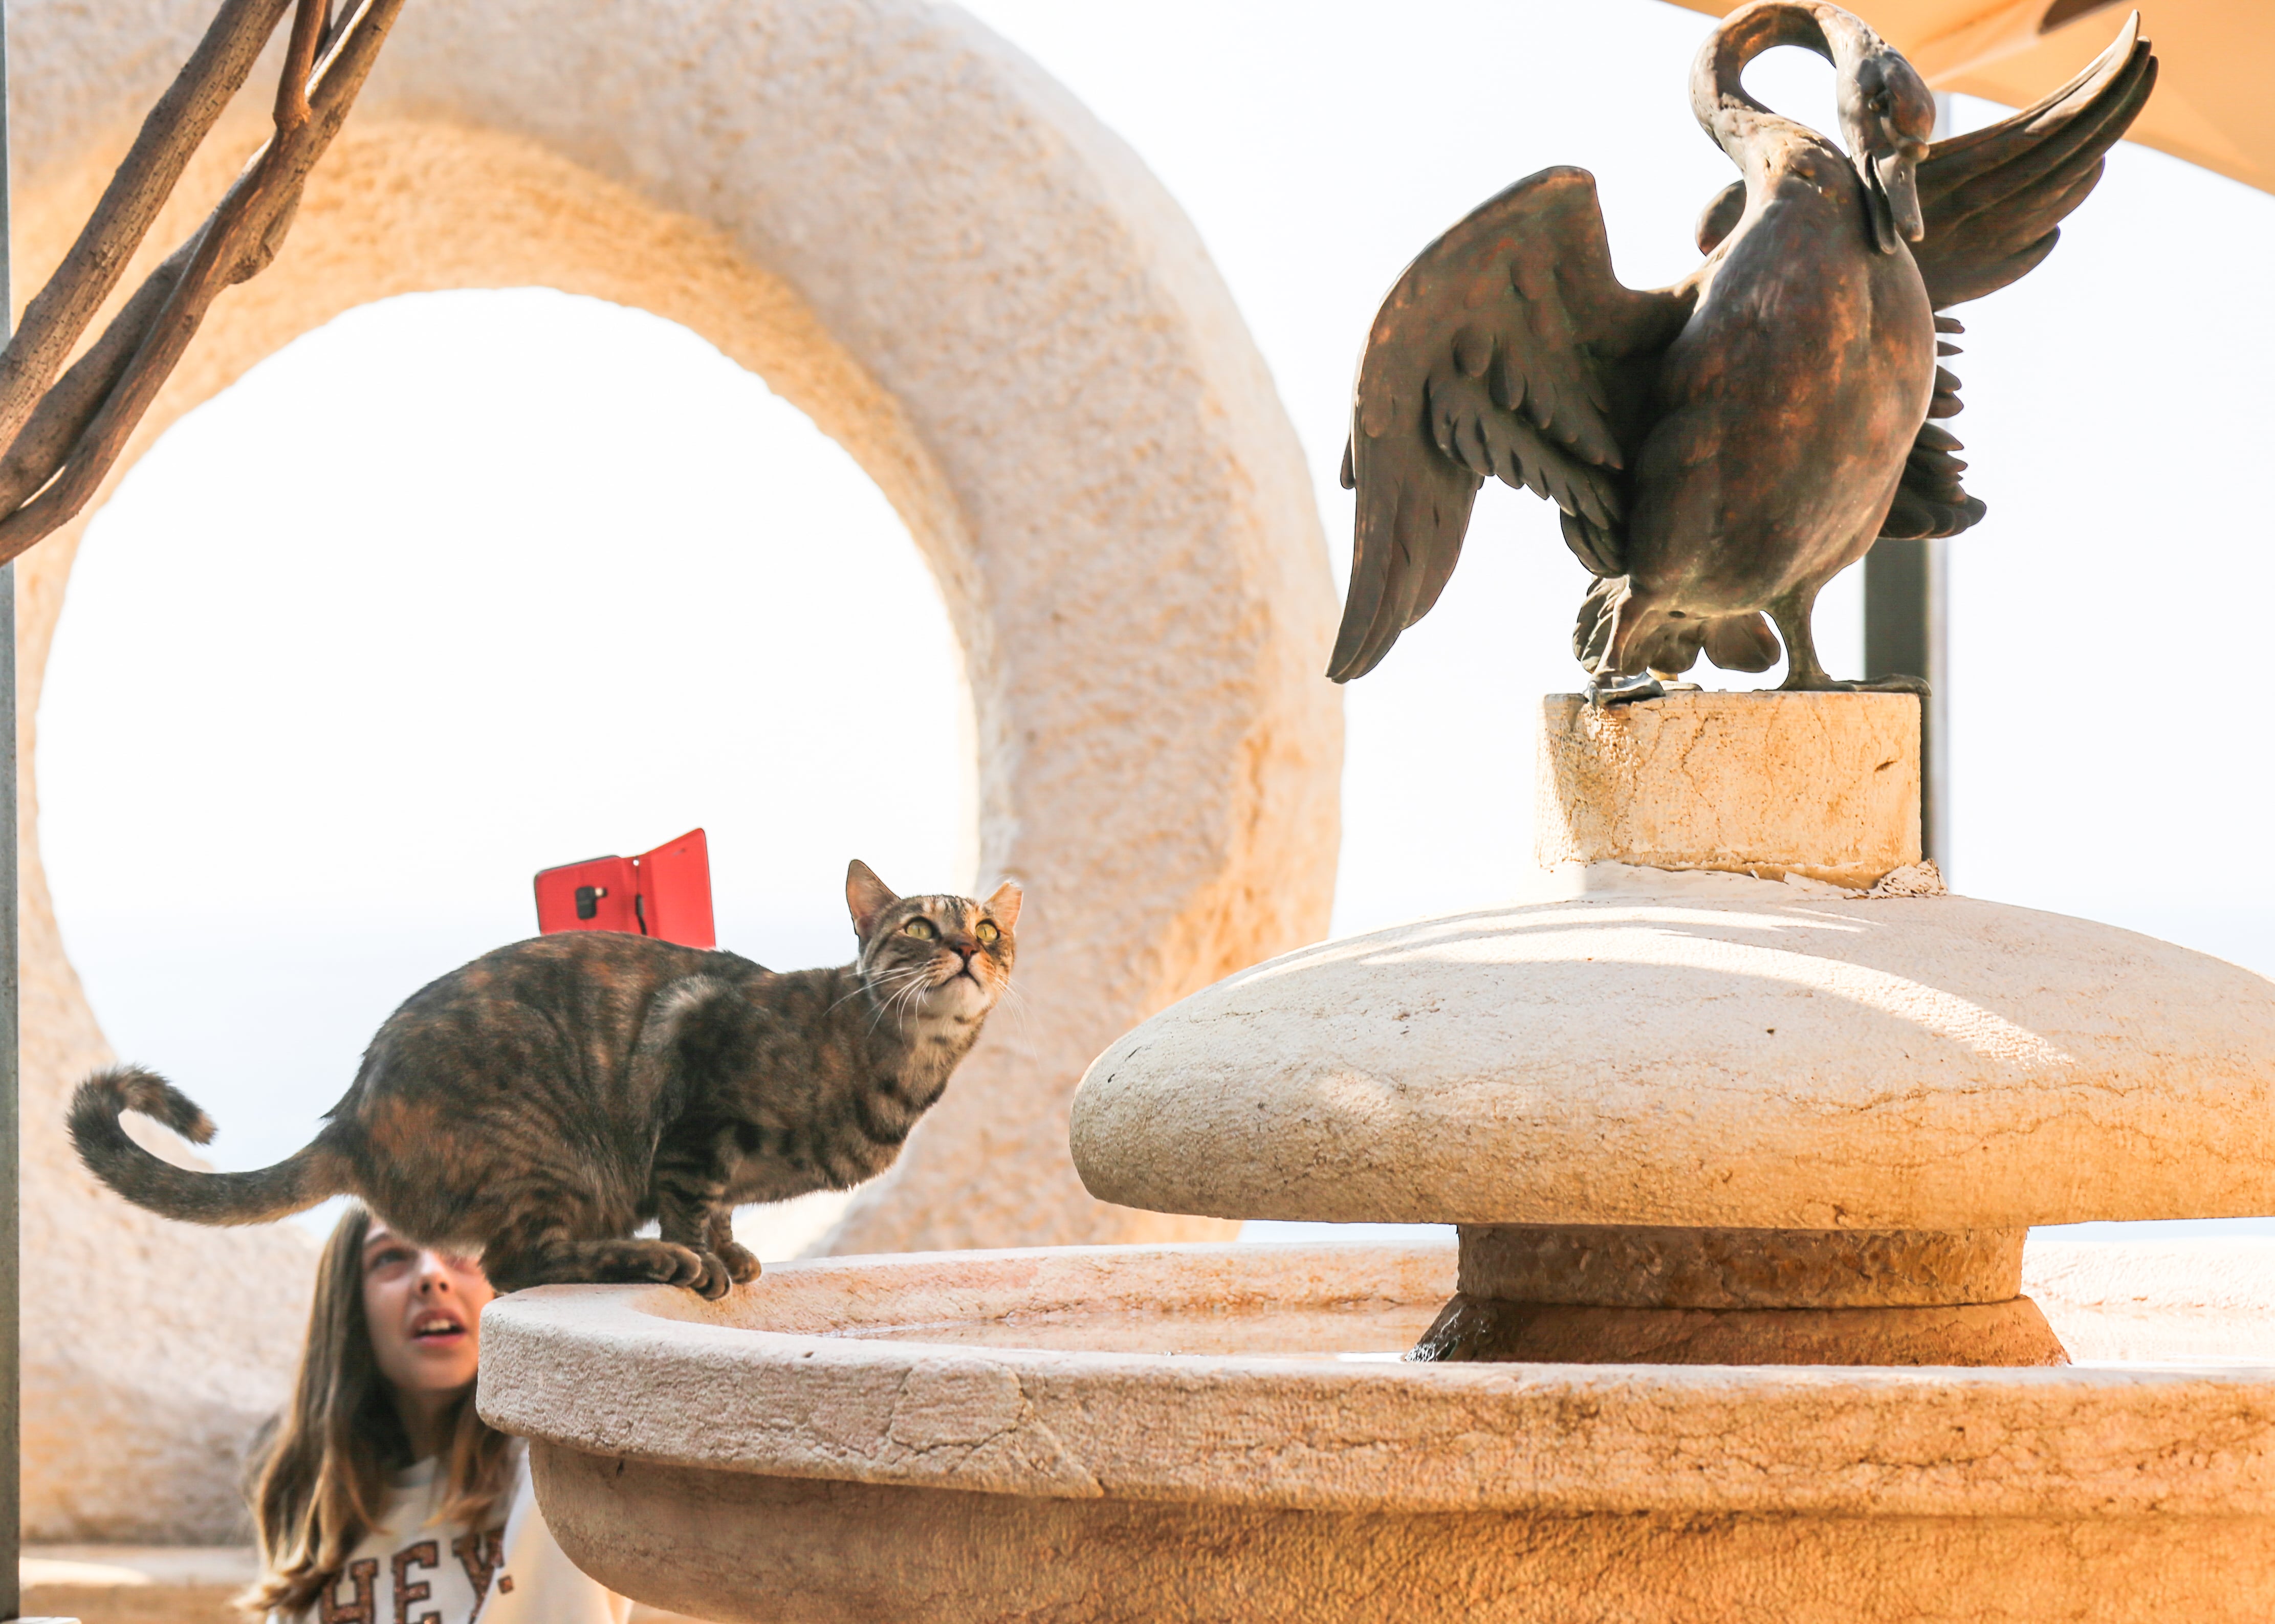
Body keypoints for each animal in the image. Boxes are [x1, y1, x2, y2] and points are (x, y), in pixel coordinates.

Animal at [71, 860, 1019, 1291]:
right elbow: (696, 1199)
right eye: (920, 927)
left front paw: (735, 1251)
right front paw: (708, 1261)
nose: (969, 946)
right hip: (544, 1154)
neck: (890, 1065)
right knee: (518, 1262)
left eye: (988, 928)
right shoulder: (695, 1098)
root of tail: (349, 1119)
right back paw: (657, 1259)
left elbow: (725, 1208)